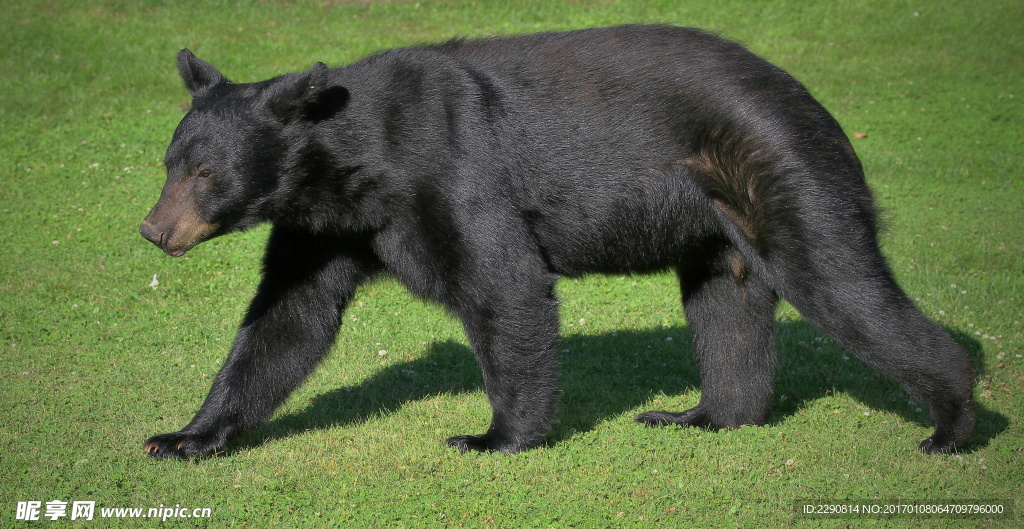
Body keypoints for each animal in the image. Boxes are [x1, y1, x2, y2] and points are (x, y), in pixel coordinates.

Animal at [140, 24, 974, 458]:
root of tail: (814, 101)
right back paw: (701, 414)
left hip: (784, 170)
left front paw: (493, 435)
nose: (153, 228)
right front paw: (184, 434)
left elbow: (504, 283)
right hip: (718, 225)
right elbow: (285, 321)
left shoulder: (452, 166)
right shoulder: (325, 225)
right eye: (170, 162)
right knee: (728, 310)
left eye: (208, 172)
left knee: (842, 283)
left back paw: (951, 423)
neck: (353, 158)